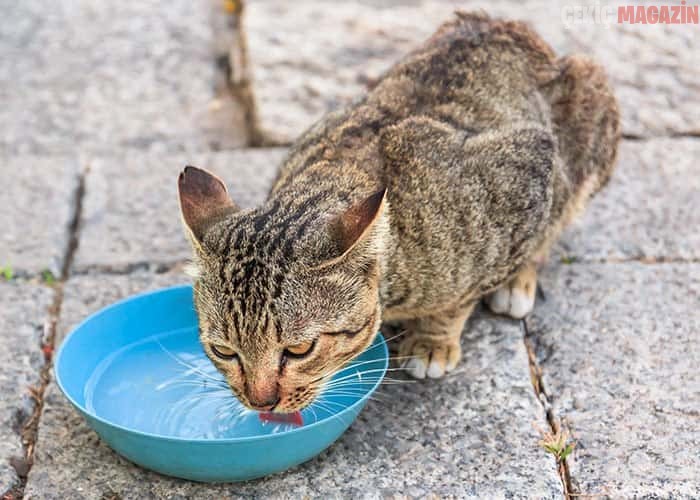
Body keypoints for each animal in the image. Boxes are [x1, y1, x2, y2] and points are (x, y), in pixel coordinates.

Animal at [179, 11, 616, 412]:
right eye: (224, 351)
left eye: (300, 350)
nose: (261, 403)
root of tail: (507, 24)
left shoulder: (527, 172)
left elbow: (461, 296)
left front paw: (433, 339)